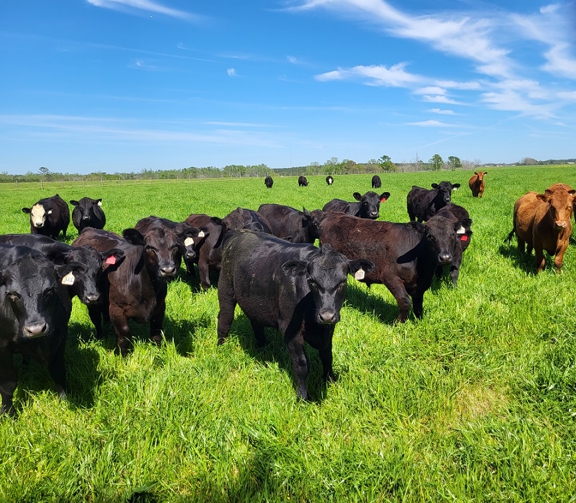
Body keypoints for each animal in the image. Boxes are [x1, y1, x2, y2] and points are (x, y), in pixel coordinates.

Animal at [0, 246, 84, 416]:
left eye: (50, 290)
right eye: (12, 294)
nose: (36, 329)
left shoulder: (60, 335)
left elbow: (58, 370)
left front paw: (63, 400)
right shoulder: (3, 345)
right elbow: (8, 383)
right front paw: (8, 412)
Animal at [73, 226, 182, 356]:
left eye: (175, 246)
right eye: (149, 247)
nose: (168, 269)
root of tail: (89, 229)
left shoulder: (160, 307)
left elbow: (157, 334)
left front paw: (160, 353)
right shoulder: (116, 309)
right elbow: (124, 337)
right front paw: (124, 358)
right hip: (91, 299)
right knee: (95, 318)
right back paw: (101, 337)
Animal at [216, 231, 374, 402]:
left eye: (342, 282)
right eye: (312, 281)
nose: (326, 316)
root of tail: (240, 233)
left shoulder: (329, 328)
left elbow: (327, 356)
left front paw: (330, 381)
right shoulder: (290, 329)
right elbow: (301, 364)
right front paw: (303, 397)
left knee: (256, 323)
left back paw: (262, 348)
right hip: (225, 290)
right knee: (224, 320)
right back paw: (221, 348)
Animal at [318, 213, 470, 322]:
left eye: (453, 235)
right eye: (430, 236)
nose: (445, 257)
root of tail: (331, 216)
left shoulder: (421, 284)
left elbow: (418, 303)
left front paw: (419, 321)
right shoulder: (390, 277)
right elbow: (405, 301)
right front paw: (399, 323)